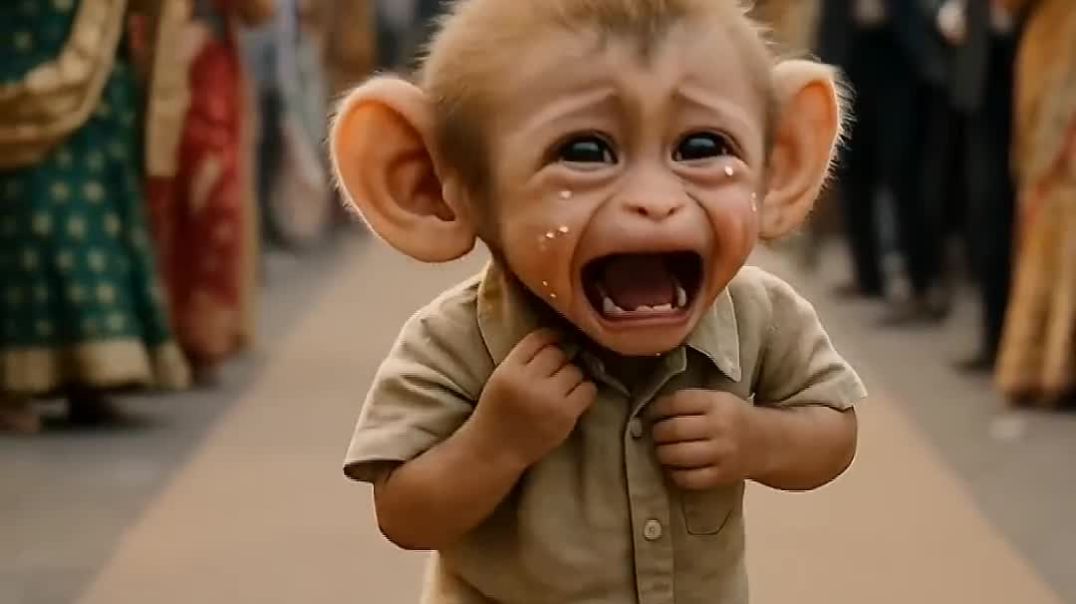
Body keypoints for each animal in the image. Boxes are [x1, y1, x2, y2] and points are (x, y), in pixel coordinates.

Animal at [332, 1, 866, 602]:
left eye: (702, 147)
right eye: (585, 152)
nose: (654, 207)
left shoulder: (778, 305)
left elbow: (828, 431)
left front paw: (718, 430)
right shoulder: (428, 343)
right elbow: (412, 499)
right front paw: (524, 402)